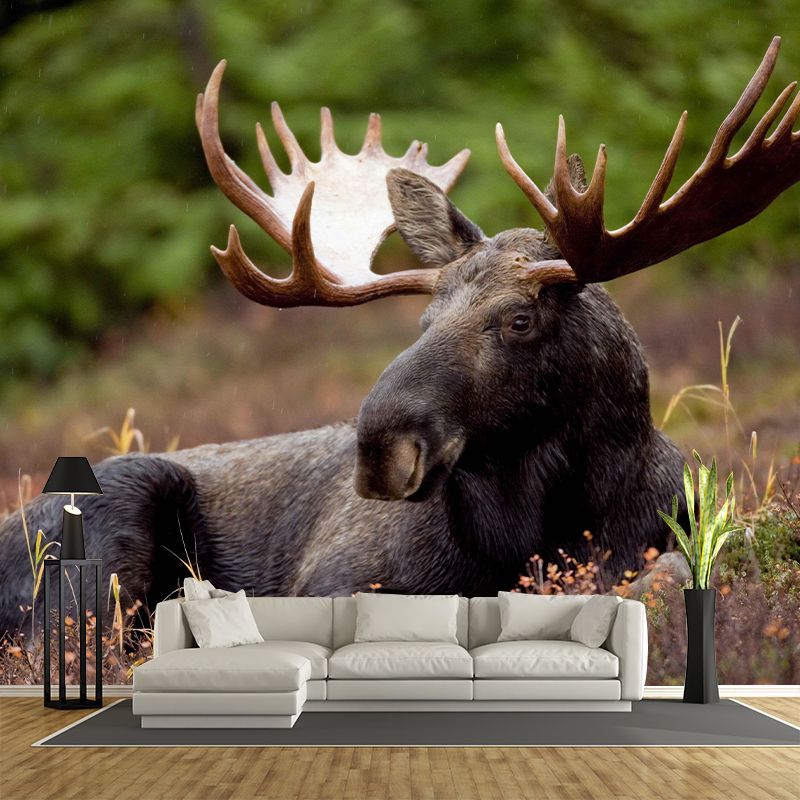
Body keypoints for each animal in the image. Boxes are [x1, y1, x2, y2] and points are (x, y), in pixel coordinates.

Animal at [1, 37, 798, 637]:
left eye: (520, 319)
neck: (544, 529)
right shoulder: (335, 580)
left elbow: (663, 578)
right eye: (423, 319)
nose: (381, 447)